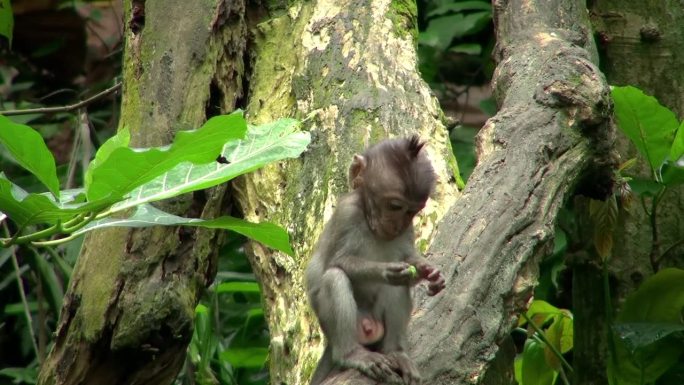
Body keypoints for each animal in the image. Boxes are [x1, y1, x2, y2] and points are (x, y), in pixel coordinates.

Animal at [308, 136, 446, 384]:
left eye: (412, 211)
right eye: (395, 206)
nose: (397, 225)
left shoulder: (408, 230)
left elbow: (409, 260)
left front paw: (429, 271)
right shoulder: (347, 213)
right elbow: (337, 261)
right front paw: (385, 271)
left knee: (398, 287)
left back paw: (396, 352)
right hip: (346, 327)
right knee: (334, 277)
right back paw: (352, 355)